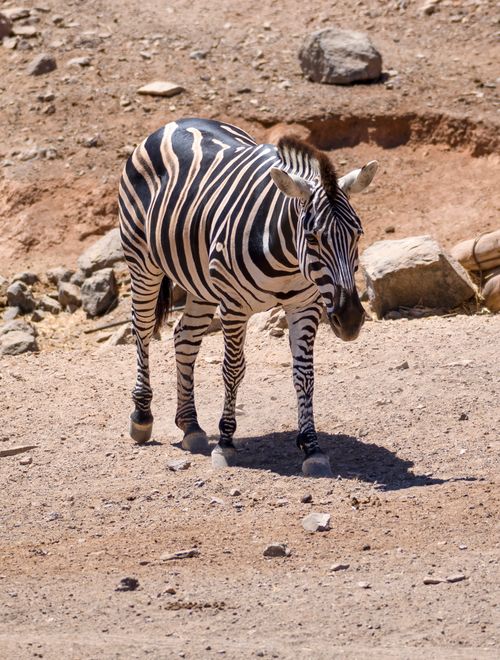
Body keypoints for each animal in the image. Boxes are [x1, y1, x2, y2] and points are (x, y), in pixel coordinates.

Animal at [118, 118, 378, 477]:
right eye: (312, 238)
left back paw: (191, 425)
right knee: (142, 329)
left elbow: (305, 374)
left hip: (199, 282)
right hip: (142, 261)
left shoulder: (305, 305)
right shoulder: (234, 305)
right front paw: (226, 443)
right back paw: (142, 416)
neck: (287, 256)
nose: (351, 320)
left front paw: (312, 447)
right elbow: (233, 369)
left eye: (357, 234)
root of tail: (175, 123)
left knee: (184, 338)